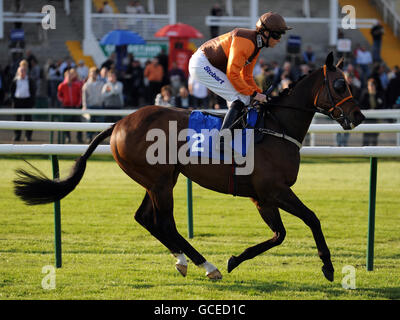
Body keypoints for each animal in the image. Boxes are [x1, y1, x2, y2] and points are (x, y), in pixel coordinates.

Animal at [13, 53, 366, 282]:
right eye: (339, 84)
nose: (359, 116)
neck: (275, 127)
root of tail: (118, 124)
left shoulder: (262, 197)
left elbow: (279, 235)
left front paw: (235, 259)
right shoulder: (274, 190)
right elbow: (312, 219)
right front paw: (328, 267)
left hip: (161, 178)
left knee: (146, 218)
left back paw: (185, 261)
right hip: (159, 181)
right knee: (164, 223)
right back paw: (206, 265)